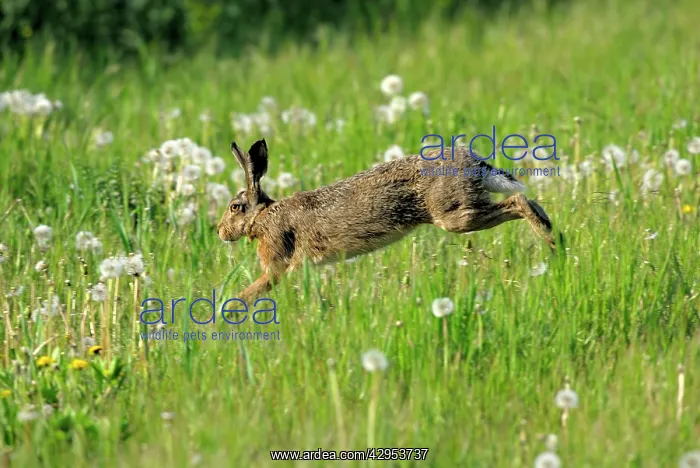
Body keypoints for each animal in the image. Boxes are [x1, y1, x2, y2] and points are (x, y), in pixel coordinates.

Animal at [218, 139, 560, 301]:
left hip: (455, 215)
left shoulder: (275, 264)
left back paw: (551, 240)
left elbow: (254, 289)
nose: (219, 231)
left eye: (235, 207)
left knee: (517, 202)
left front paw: (229, 307)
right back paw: (555, 236)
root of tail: (474, 163)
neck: (262, 216)